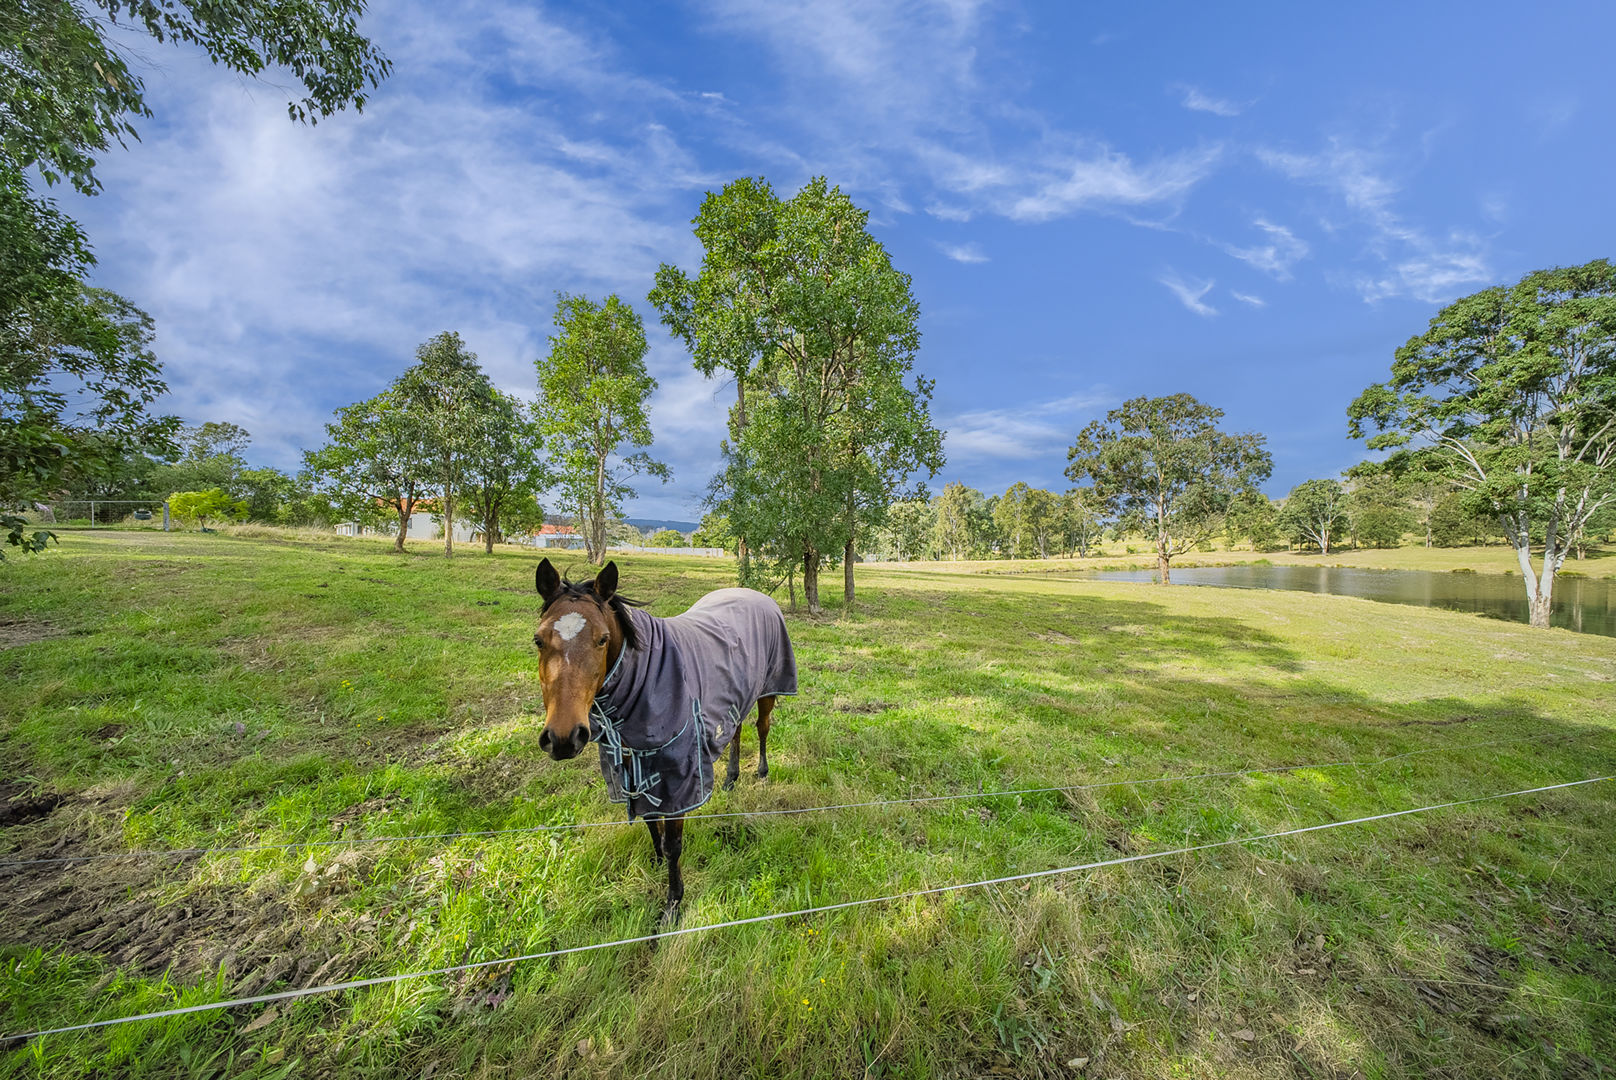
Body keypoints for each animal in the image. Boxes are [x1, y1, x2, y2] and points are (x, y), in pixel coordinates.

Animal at [532, 558, 797, 921]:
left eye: (602, 640)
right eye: (538, 640)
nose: (562, 737)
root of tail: (757, 595)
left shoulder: (679, 777)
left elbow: (674, 844)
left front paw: (673, 903)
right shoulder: (635, 765)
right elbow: (649, 820)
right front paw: (656, 859)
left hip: (768, 690)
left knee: (762, 727)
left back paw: (761, 772)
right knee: (737, 730)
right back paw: (730, 779)